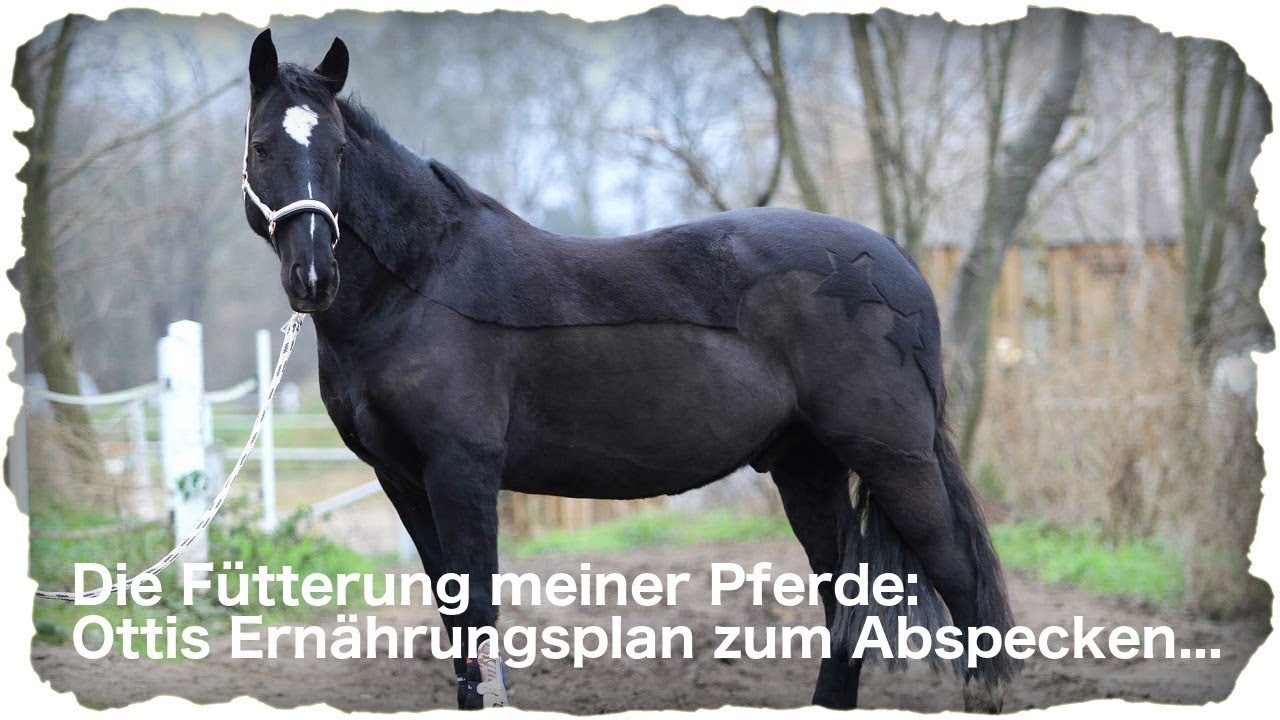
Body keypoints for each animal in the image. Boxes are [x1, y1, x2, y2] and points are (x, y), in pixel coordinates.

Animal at [240, 30, 1019, 712]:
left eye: (339, 150)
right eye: (262, 146)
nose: (314, 277)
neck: (421, 283)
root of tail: (894, 264)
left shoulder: (461, 470)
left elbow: (480, 611)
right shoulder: (402, 479)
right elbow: (456, 619)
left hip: (894, 459)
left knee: (958, 576)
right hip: (808, 466)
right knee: (846, 602)